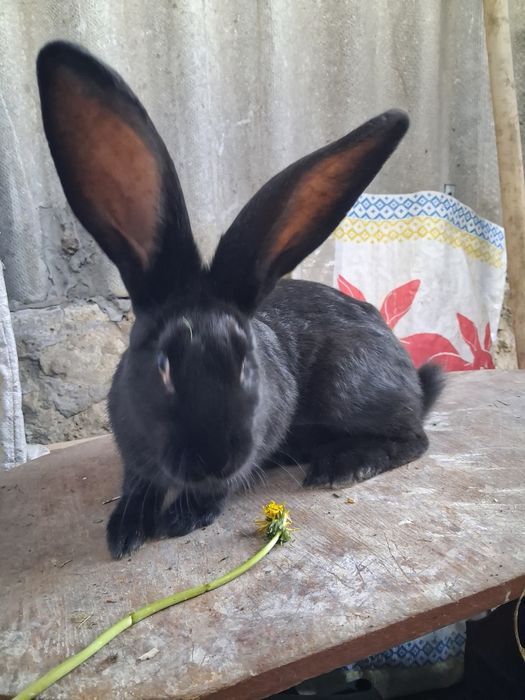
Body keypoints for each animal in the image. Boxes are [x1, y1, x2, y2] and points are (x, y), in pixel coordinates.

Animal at [37, 41, 444, 559]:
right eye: (162, 365)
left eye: (246, 362)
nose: (213, 458)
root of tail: (413, 381)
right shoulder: (133, 450)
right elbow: (138, 485)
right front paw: (125, 531)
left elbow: (219, 488)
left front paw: (185, 517)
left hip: (351, 386)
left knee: (414, 438)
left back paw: (342, 465)